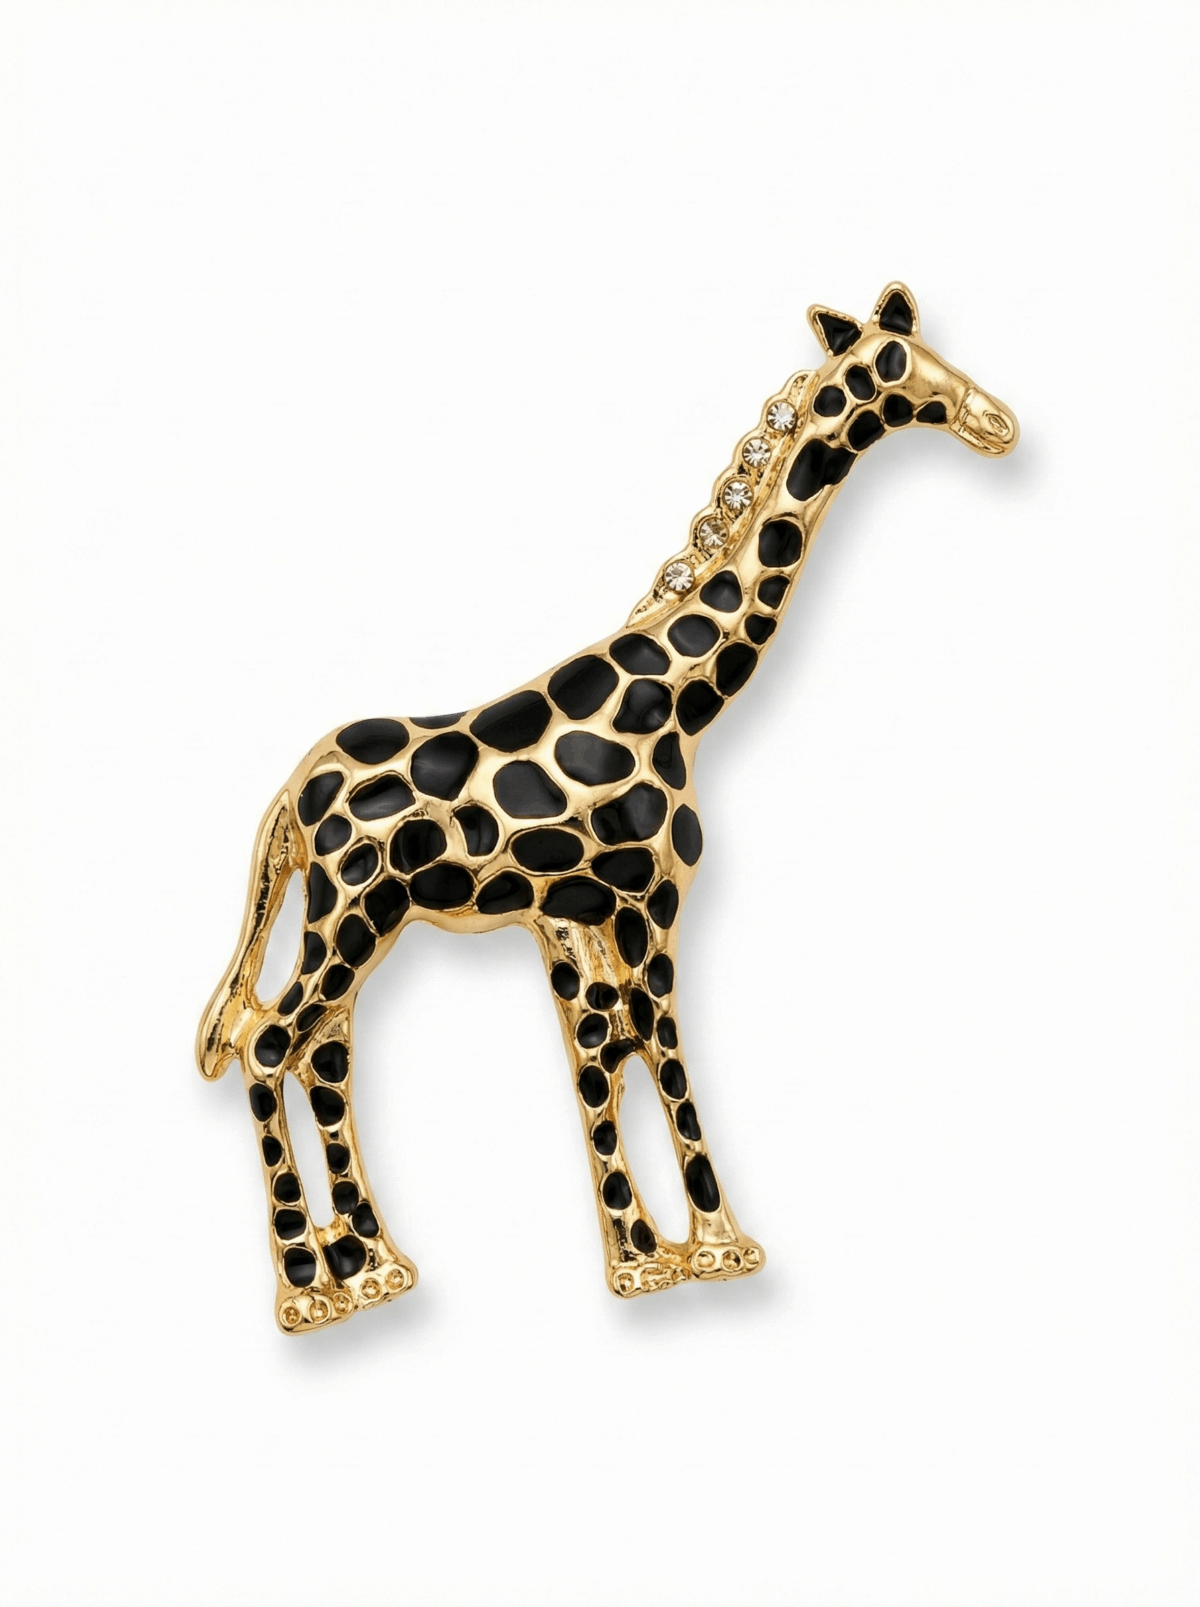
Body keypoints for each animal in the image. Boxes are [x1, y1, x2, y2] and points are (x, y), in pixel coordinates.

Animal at [198, 282, 1018, 1333]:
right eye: (898, 369)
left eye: (939, 357)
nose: (998, 423)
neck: (680, 698)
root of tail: (290, 804)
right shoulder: (644, 902)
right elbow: (657, 1052)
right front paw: (717, 1247)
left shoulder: (569, 918)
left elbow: (603, 1055)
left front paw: (641, 1258)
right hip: (350, 912)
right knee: (268, 1046)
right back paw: (308, 1288)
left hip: (355, 920)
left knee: (321, 1050)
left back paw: (375, 1266)